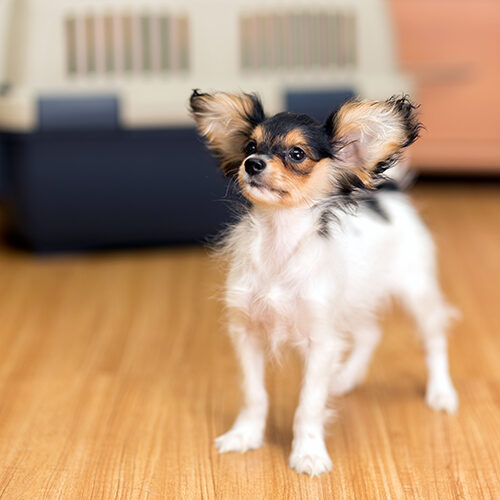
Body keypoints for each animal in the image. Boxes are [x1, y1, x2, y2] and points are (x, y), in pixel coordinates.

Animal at [188, 90, 458, 476]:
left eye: (296, 154)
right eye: (250, 146)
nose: (252, 164)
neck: (279, 245)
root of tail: (389, 193)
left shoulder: (321, 341)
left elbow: (309, 405)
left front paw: (309, 453)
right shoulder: (247, 333)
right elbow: (254, 394)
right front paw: (245, 435)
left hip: (416, 291)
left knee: (434, 339)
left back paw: (441, 392)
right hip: (355, 299)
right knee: (370, 333)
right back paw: (344, 378)